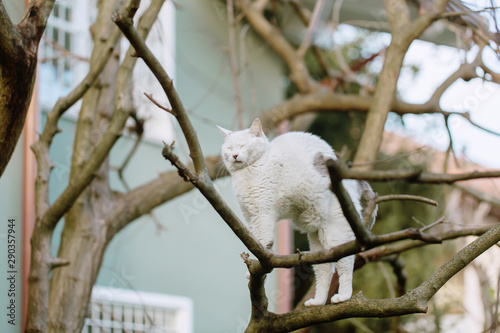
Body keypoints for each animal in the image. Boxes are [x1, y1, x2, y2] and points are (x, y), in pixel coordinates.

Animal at [217, 118, 376, 304]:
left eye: (242, 146)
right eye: (229, 148)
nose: (234, 155)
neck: (248, 172)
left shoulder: (263, 214)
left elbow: (262, 243)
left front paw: (255, 267)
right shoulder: (251, 218)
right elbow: (254, 242)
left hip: (336, 234)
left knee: (346, 264)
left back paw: (343, 296)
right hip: (318, 240)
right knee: (325, 270)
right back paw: (317, 302)